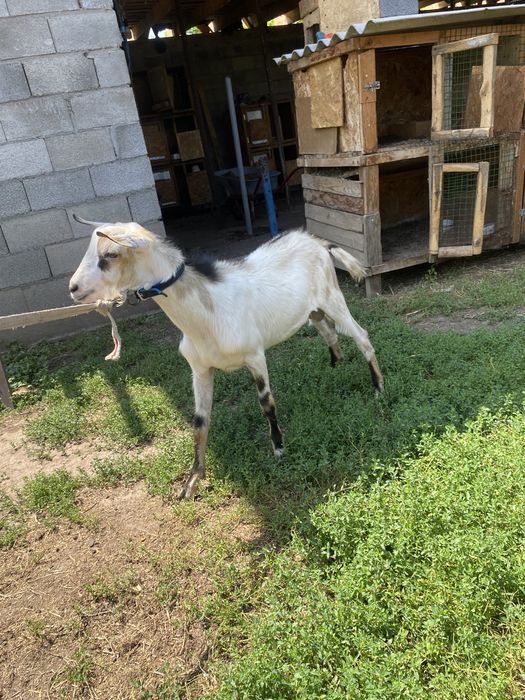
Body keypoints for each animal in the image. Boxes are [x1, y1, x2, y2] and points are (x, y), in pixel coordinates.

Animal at [69, 218, 384, 499]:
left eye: (111, 254)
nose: (73, 288)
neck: (207, 312)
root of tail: (315, 240)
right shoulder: (199, 369)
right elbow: (199, 421)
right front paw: (192, 481)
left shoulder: (255, 355)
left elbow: (266, 403)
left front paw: (279, 448)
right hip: (313, 311)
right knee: (328, 332)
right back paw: (335, 366)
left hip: (333, 299)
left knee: (362, 336)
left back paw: (378, 388)